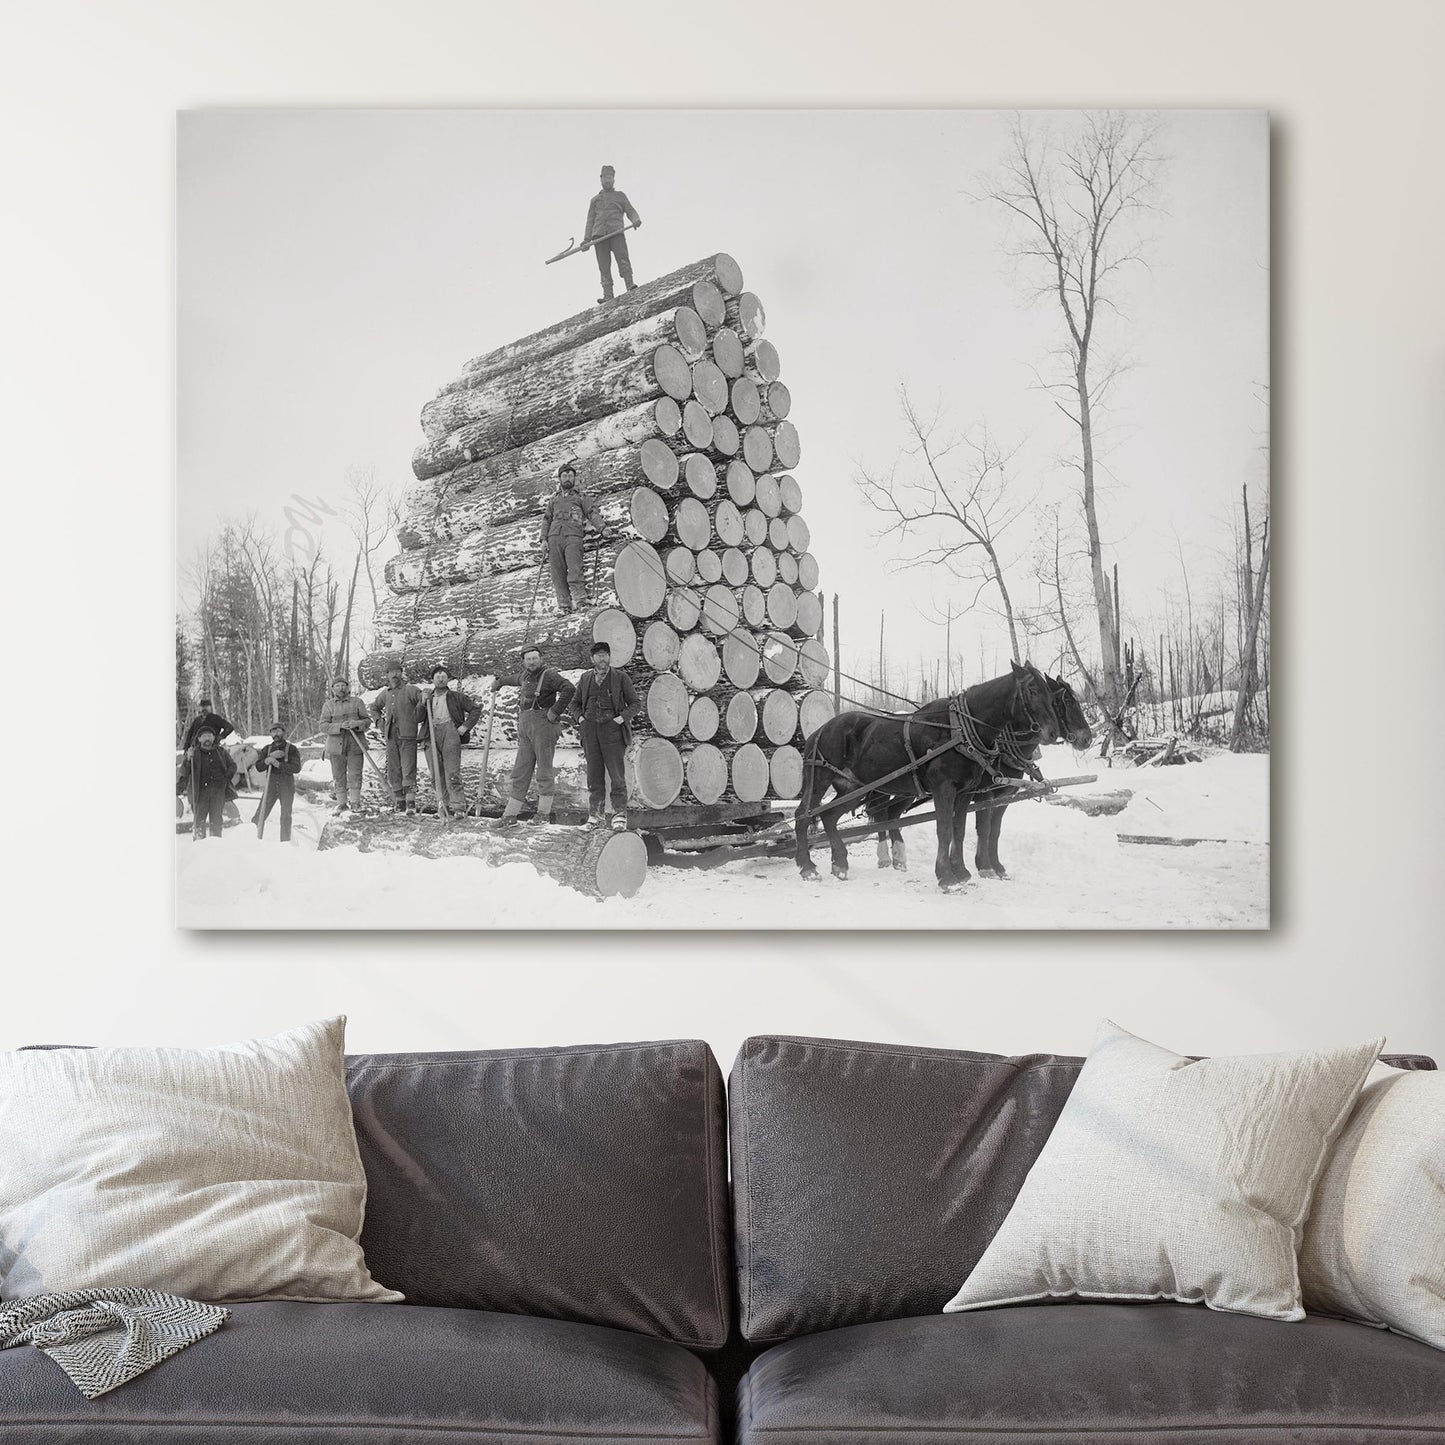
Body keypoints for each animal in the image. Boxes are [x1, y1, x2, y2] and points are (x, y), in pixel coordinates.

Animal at [797, 661, 1057, 884]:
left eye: (1050, 692)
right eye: (1033, 690)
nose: (1053, 733)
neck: (959, 730)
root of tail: (819, 730)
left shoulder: (965, 792)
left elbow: (959, 830)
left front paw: (961, 871)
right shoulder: (945, 789)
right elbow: (945, 830)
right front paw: (947, 878)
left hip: (855, 787)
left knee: (829, 817)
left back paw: (840, 863)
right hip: (820, 780)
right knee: (803, 815)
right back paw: (807, 867)